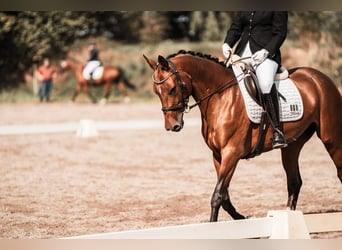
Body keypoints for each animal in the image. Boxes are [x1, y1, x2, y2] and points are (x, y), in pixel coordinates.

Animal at [144, 50, 342, 221]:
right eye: (156, 91)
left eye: (172, 89)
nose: (172, 126)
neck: (220, 97)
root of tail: (320, 77)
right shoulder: (218, 155)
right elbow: (224, 196)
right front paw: (241, 219)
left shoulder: (232, 153)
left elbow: (217, 196)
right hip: (292, 146)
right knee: (294, 182)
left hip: (331, 139)